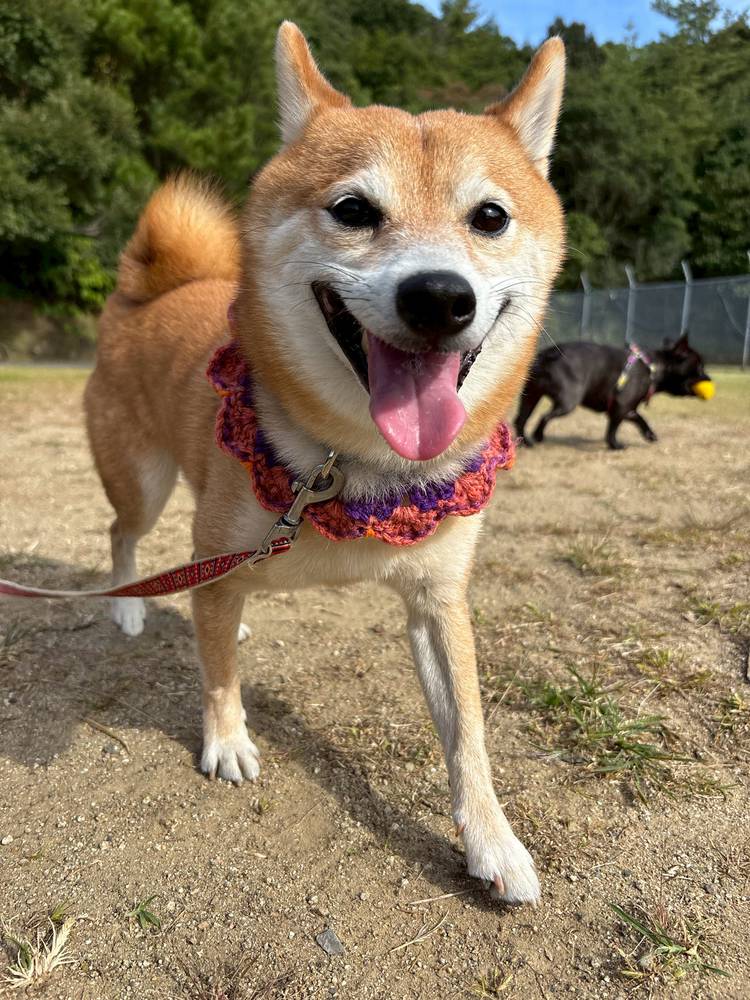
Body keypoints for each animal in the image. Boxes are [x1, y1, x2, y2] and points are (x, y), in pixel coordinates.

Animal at [84, 22, 566, 905]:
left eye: (490, 217)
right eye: (353, 210)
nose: (440, 297)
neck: (354, 465)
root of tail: (151, 293)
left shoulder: (439, 600)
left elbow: (469, 735)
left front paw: (493, 841)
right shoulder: (216, 556)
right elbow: (218, 673)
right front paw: (226, 740)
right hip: (143, 483)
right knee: (124, 536)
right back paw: (130, 609)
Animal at [515, 336, 713, 450]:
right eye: (699, 367)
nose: (709, 377)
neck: (653, 368)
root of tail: (549, 353)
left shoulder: (627, 409)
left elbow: (640, 419)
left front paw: (649, 434)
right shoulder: (620, 407)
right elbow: (613, 429)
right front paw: (615, 445)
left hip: (531, 396)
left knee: (521, 419)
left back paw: (525, 441)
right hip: (568, 401)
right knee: (545, 417)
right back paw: (538, 436)